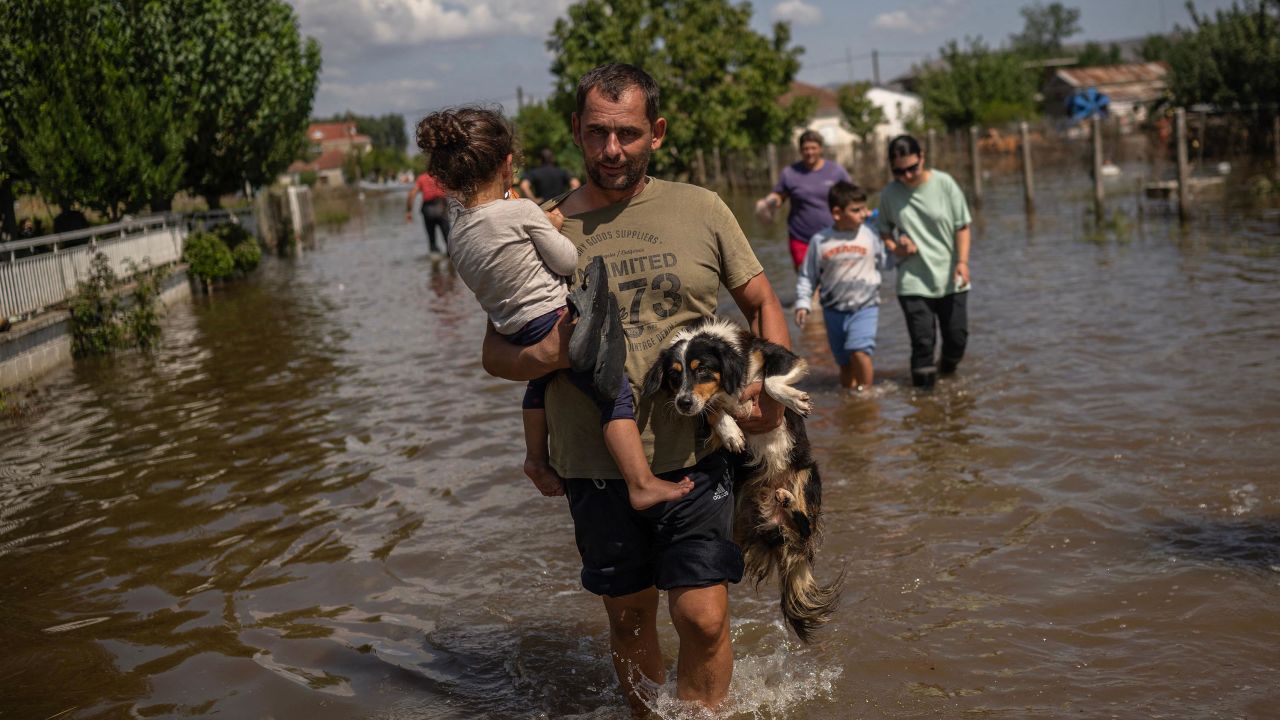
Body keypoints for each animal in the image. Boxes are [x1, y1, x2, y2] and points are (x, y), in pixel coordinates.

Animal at [640, 315, 839, 638]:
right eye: (673, 376)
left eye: (703, 370)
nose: (683, 403)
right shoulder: (703, 407)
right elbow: (712, 410)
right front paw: (731, 431)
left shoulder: (778, 355)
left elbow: (770, 382)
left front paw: (794, 400)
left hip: (809, 475)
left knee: (806, 525)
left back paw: (788, 500)